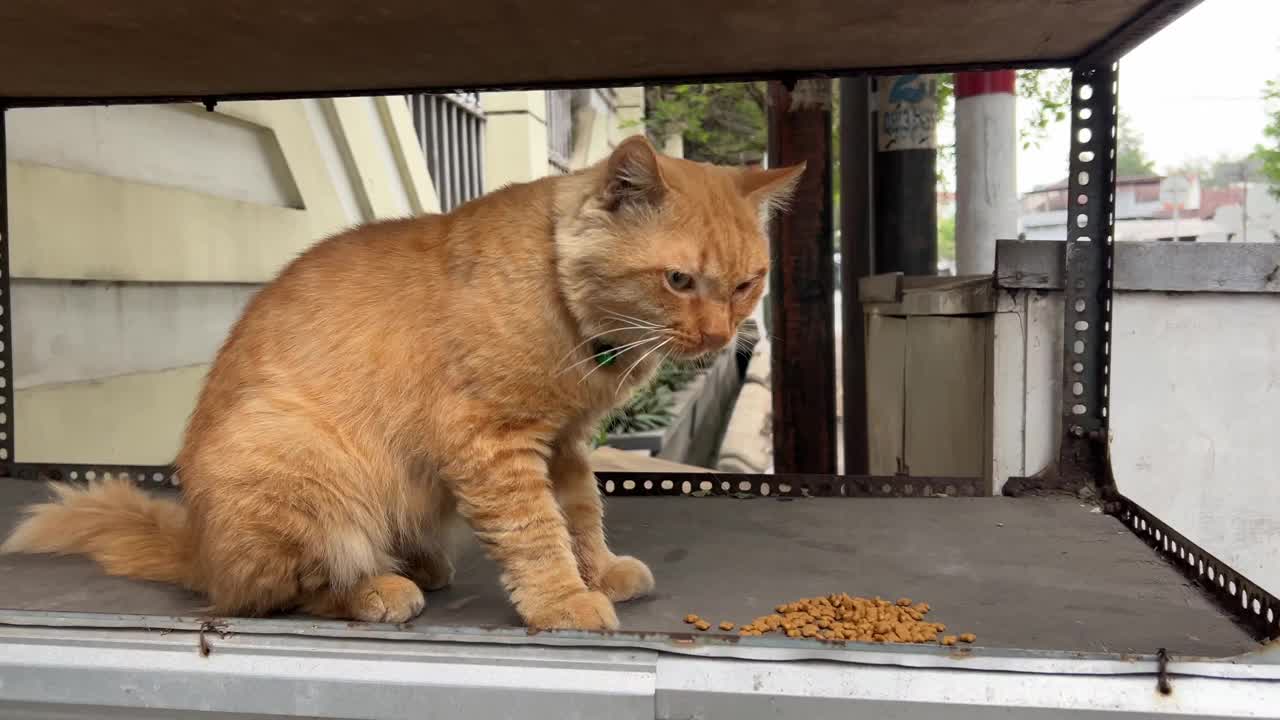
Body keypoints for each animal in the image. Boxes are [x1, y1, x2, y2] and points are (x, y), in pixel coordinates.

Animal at [0, 135, 798, 627]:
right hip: (300, 461)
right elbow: (538, 532)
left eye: (746, 284)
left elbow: (580, 516)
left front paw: (596, 572)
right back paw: (380, 588)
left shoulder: (565, 446)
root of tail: (200, 548)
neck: (562, 301)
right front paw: (562, 601)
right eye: (678, 280)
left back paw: (420, 559)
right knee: (283, 594)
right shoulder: (493, 443)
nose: (720, 338)